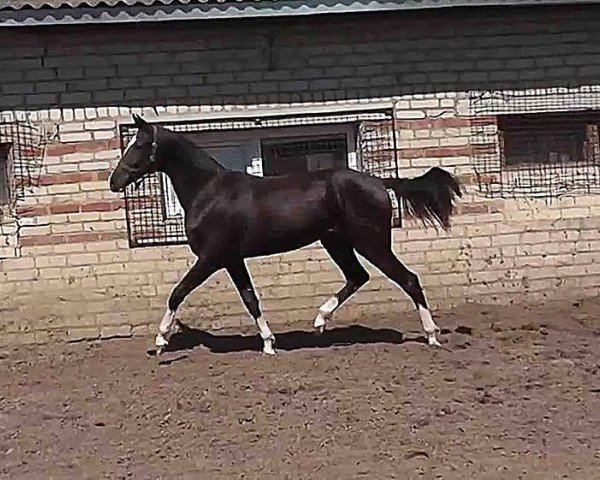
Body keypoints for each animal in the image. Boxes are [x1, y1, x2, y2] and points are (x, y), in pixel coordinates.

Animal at [109, 114, 464, 356]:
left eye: (140, 144)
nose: (115, 181)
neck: (208, 191)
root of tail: (379, 182)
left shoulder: (211, 257)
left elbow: (178, 292)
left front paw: (160, 340)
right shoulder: (232, 259)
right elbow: (250, 298)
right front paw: (268, 343)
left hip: (371, 242)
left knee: (408, 279)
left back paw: (432, 335)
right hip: (336, 242)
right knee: (357, 277)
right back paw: (319, 322)